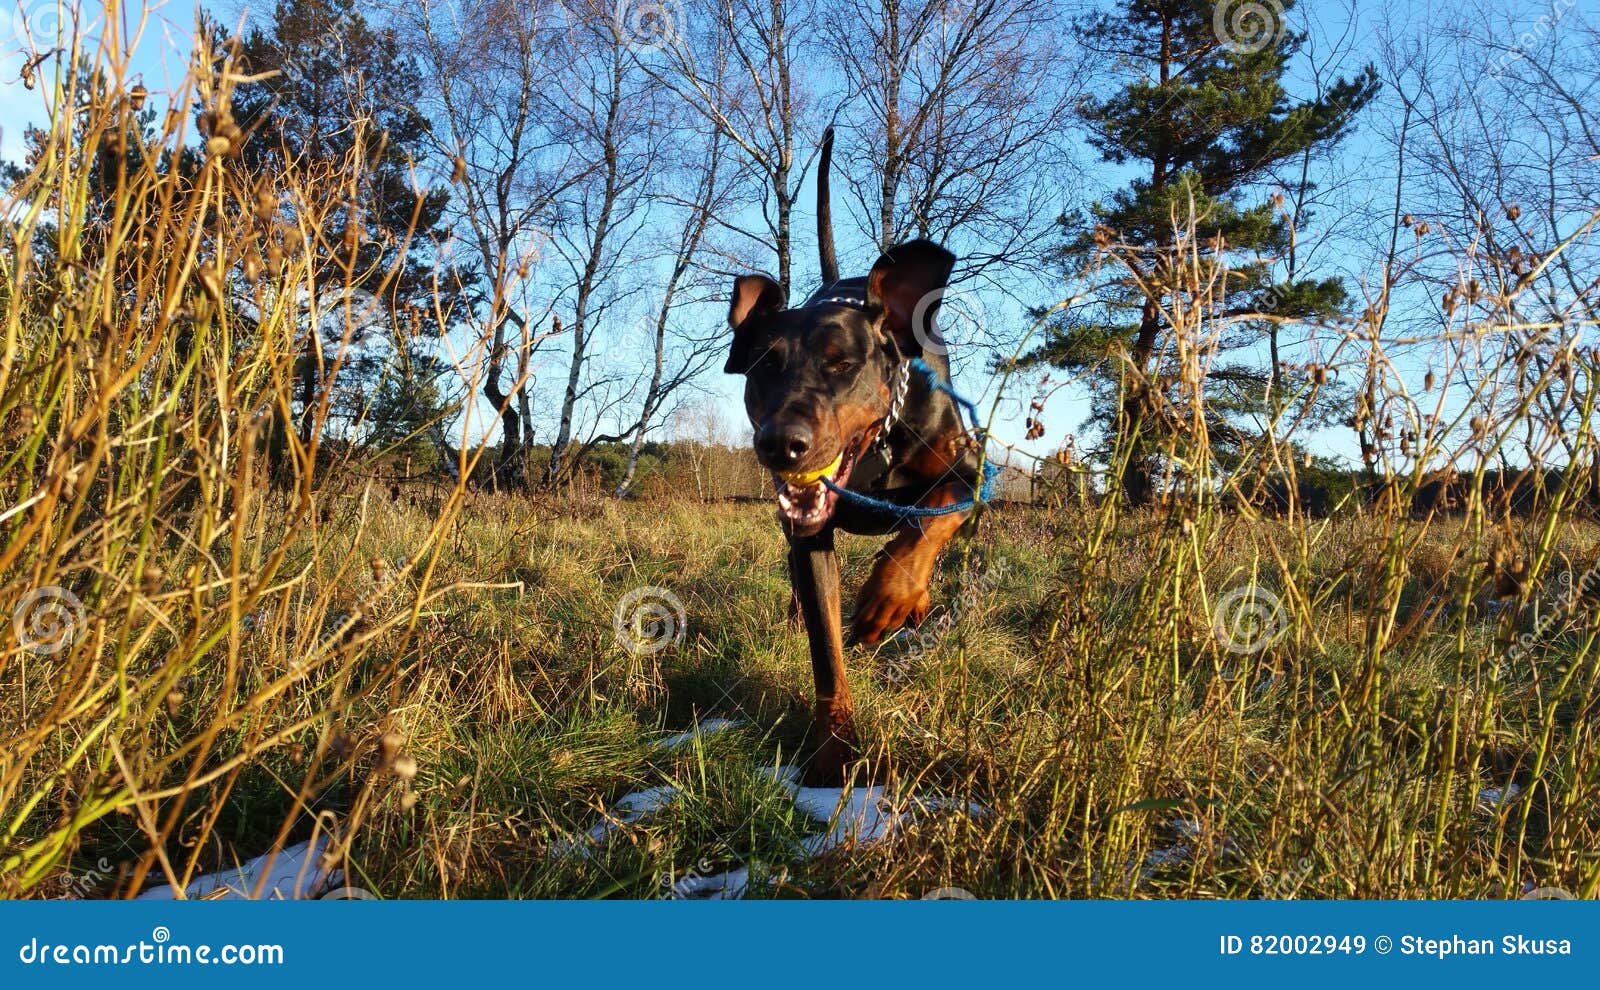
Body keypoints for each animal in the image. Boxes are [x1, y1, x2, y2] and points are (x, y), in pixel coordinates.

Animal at [723, 127, 972, 786]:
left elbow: (935, 515)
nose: (780, 443)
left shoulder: (968, 470)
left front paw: (891, 597)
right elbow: (826, 648)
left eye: (842, 364)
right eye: (763, 366)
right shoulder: (809, 535)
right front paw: (833, 753)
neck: (872, 454)